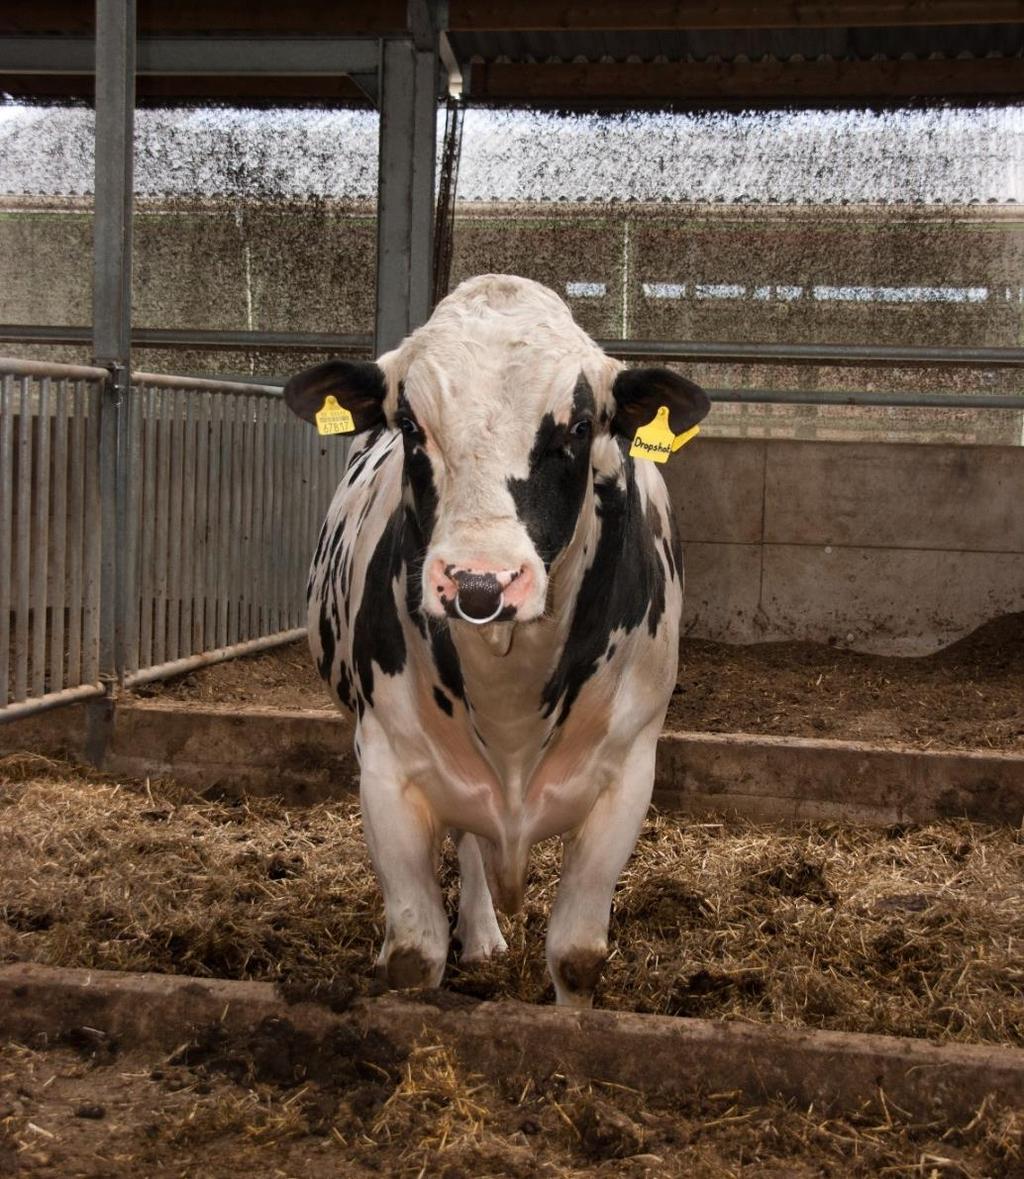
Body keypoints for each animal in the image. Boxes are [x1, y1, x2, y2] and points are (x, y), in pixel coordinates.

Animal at [283, 273, 707, 1004]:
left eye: (579, 426)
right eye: (410, 426)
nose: (480, 584)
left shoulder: (628, 773)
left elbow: (577, 954)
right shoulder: (387, 765)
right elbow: (415, 951)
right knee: (470, 843)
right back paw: (480, 935)